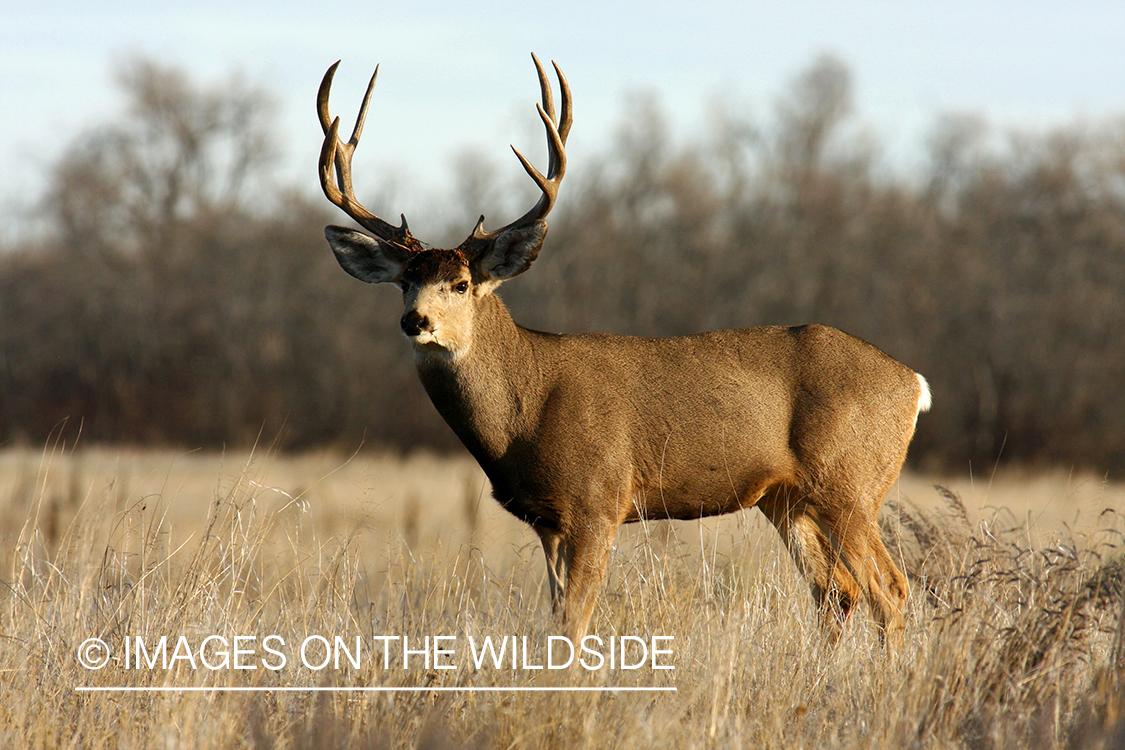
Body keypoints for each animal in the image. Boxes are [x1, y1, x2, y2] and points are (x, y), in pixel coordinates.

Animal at [317, 55, 931, 647]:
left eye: (462, 284)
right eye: (404, 281)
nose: (414, 320)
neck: (524, 410)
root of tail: (914, 384)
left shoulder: (598, 501)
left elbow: (575, 623)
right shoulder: (549, 520)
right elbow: (557, 620)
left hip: (850, 482)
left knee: (890, 588)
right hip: (786, 498)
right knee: (836, 592)